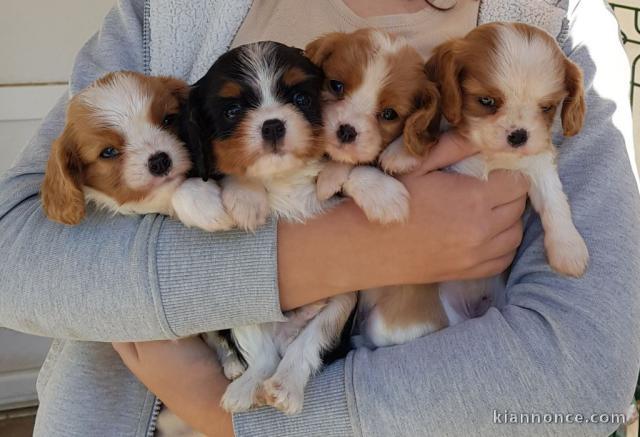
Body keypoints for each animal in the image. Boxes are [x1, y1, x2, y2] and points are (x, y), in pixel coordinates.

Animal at [358, 23, 588, 350]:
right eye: (486, 101)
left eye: (546, 107)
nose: (519, 135)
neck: (488, 155)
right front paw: (401, 152)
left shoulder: (538, 163)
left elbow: (554, 202)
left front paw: (568, 248)